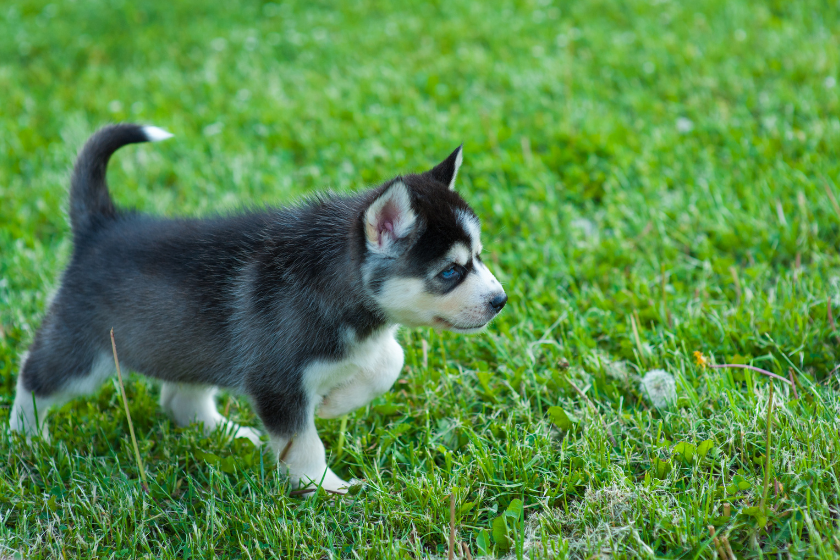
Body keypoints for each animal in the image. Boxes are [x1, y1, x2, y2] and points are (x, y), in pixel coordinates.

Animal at [9, 123, 506, 494]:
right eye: (450, 272)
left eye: (479, 256)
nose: (500, 301)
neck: (331, 282)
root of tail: (102, 225)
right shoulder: (277, 383)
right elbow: (304, 443)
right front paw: (325, 487)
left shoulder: (358, 344)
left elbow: (392, 359)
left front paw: (336, 403)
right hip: (84, 354)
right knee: (34, 374)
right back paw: (26, 438)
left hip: (191, 347)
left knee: (179, 400)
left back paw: (227, 433)